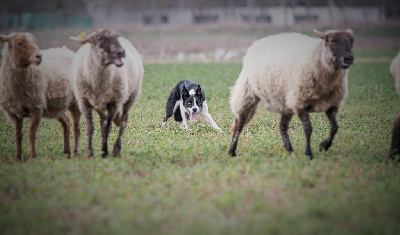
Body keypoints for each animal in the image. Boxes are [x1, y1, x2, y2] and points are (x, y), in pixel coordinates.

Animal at [0, 32, 81, 161]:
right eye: (19, 43)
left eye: (35, 42)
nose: (39, 57)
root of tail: (66, 50)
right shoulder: (14, 112)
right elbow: (18, 135)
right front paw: (18, 158)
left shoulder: (36, 108)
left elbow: (31, 134)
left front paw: (33, 158)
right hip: (55, 106)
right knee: (66, 122)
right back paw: (66, 152)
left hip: (75, 102)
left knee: (76, 126)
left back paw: (75, 152)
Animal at [70, 28, 144, 158]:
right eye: (99, 38)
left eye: (116, 37)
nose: (121, 52)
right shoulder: (84, 101)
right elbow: (90, 127)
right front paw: (90, 152)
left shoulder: (114, 102)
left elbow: (107, 127)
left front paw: (104, 151)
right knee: (102, 121)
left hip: (131, 96)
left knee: (123, 121)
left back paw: (116, 149)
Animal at [230, 28, 354, 159]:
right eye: (332, 41)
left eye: (352, 41)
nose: (349, 58)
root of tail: (258, 43)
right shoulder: (300, 102)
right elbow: (308, 128)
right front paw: (309, 153)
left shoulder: (332, 105)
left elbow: (335, 127)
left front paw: (324, 145)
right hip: (247, 93)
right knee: (239, 123)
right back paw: (232, 151)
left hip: (285, 102)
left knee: (283, 126)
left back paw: (290, 150)